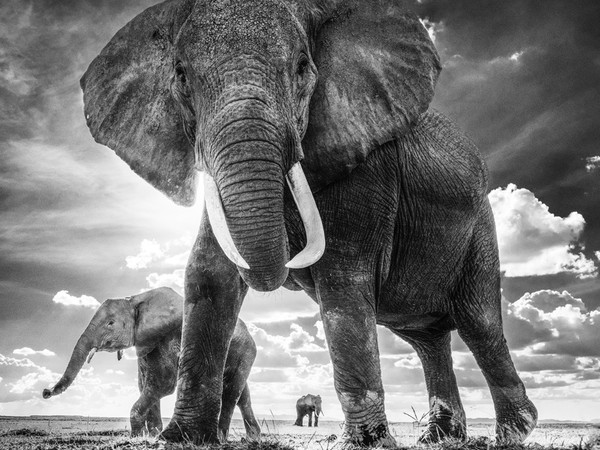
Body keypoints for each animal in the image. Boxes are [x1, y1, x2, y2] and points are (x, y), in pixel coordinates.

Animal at [42, 284, 258, 440]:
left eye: (110, 323)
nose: (45, 392)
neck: (134, 299)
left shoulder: (169, 336)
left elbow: (162, 385)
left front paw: (138, 437)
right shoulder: (147, 341)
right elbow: (144, 384)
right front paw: (153, 434)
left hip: (246, 351)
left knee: (230, 393)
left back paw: (222, 437)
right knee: (243, 396)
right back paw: (252, 438)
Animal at [78, 0, 536, 444]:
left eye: (302, 67)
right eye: (181, 76)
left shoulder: (368, 165)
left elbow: (341, 277)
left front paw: (367, 442)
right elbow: (211, 273)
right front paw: (182, 438)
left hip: (480, 229)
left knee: (478, 324)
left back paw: (516, 430)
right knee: (426, 339)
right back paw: (440, 437)